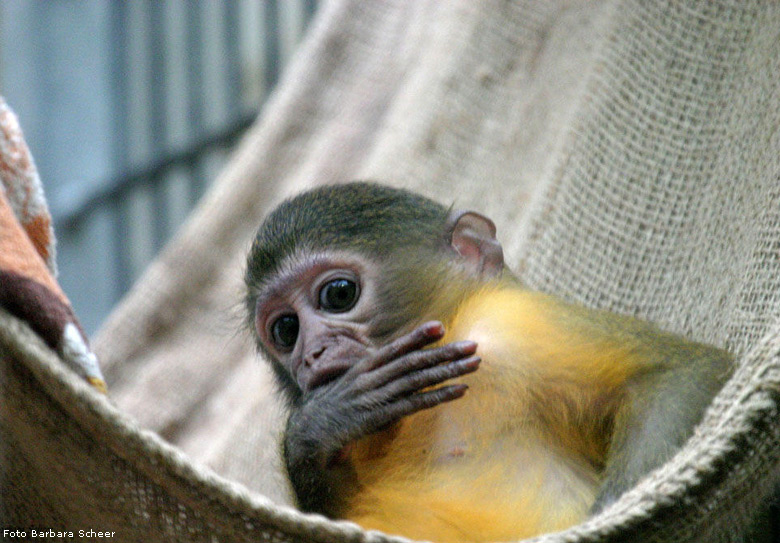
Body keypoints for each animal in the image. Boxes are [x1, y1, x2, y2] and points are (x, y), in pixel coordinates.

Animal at [244, 184, 732, 543]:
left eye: (339, 293)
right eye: (286, 330)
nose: (311, 353)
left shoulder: (510, 323)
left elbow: (680, 372)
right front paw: (321, 425)